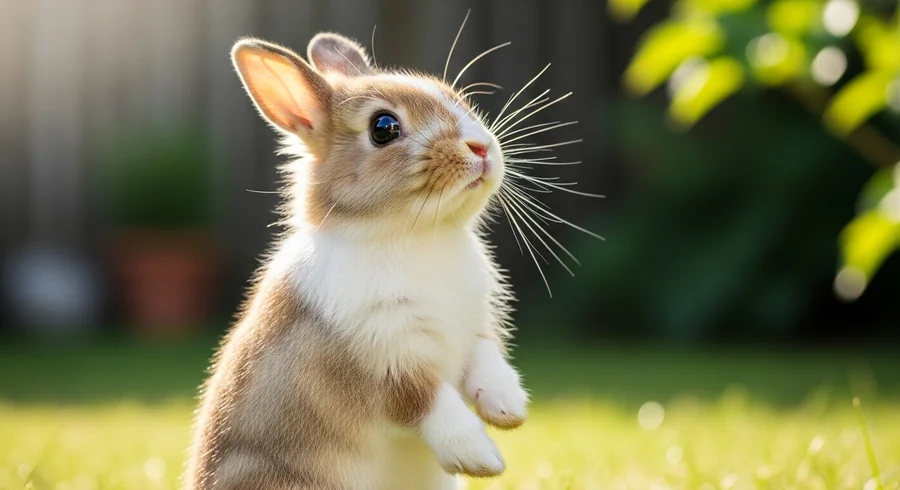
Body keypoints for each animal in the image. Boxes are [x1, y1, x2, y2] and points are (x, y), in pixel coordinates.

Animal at [184, 32, 531, 490]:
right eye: (384, 128)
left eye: (456, 98)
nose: (481, 147)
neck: (412, 232)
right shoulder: (384, 359)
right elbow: (428, 401)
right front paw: (481, 457)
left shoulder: (475, 329)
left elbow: (488, 362)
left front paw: (510, 409)